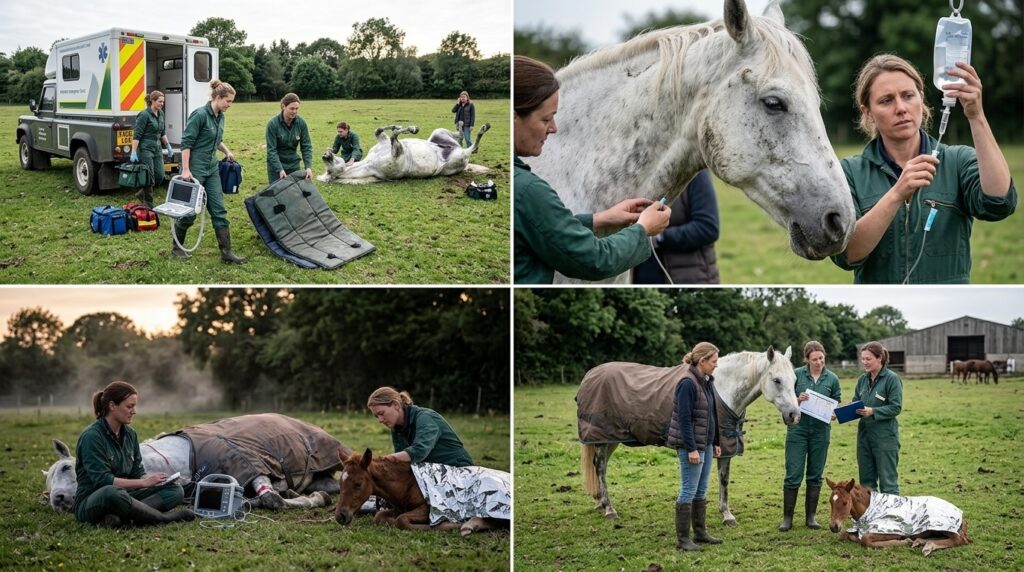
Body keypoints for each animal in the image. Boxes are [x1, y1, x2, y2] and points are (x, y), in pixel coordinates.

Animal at [42, 414, 345, 513]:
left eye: (67, 467)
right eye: (47, 487)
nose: (58, 500)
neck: (182, 457)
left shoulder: (249, 467)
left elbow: (272, 499)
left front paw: (312, 499)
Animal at [318, 124, 491, 184]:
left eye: (328, 166)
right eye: (328, 171)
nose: (325, 155)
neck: (370, 163)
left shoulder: (385, 141)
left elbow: (381, 130)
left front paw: (402, 126)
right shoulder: (398, 152)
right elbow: (394, 136)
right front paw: (411, 128)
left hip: (439, 133)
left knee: (460, 138)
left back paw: (462, 127)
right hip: (458, 158)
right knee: (471, 148)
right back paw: (482, 129)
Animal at [333, 449, 510, 535]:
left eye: (358, 484)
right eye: (340, 482)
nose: (340, 516)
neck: (408, 483)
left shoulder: (428, 508)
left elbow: (401, 521)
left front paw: (436, 526)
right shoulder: (399, 507)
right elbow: (380, 516)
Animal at [577, 345, 801, 524]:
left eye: (794, 380)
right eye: (777, 380)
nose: (795, 415)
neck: (721, 389)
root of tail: (590, 375)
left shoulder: (724, 446)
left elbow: (724, 479)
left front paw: (726, 514)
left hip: (610, 439)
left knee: (600, 465)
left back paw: (600, 502)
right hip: (602, 437)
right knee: (600, 467)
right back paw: (609, 509)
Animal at [826, 478, 972, 556]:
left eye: (845, 502)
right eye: (830, 501)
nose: (833, 527)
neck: (870, 508)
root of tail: (961, 514)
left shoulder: (892, 529)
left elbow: (865, 539)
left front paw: (905, 541)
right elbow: (845, 535)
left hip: (939, 524)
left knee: (959, 539)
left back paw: (927, 546)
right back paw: (920, 542)